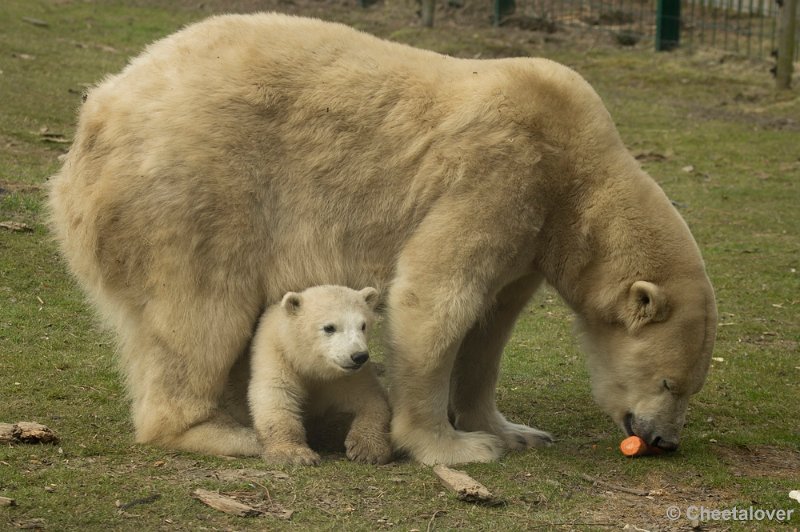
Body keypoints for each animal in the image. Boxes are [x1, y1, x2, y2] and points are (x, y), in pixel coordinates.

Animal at [48, 10, 720, 464]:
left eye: (690, 385)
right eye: (668, 382)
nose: (663, 439)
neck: (578, 173)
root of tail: (95, 115)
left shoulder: (531, 234)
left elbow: (491, 325)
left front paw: (511, 430)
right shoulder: (501, 174)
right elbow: (436, 298)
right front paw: (456, 446)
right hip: (192, 194)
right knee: (200, 314)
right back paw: (224, 431)